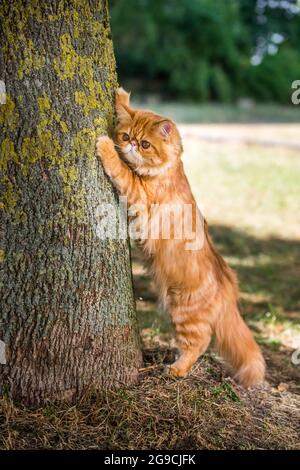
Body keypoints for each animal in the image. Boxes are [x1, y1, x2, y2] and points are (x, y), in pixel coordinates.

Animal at [96, 88, 264, 386]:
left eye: (145, 144)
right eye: (126, 137)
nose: (131, 146)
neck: (167, 170)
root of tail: (228, 284)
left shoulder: (139, 194)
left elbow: (120, 169)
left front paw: (104, 146)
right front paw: (121, 97)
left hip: (184, 312)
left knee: (199, 343)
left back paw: (177, 369)